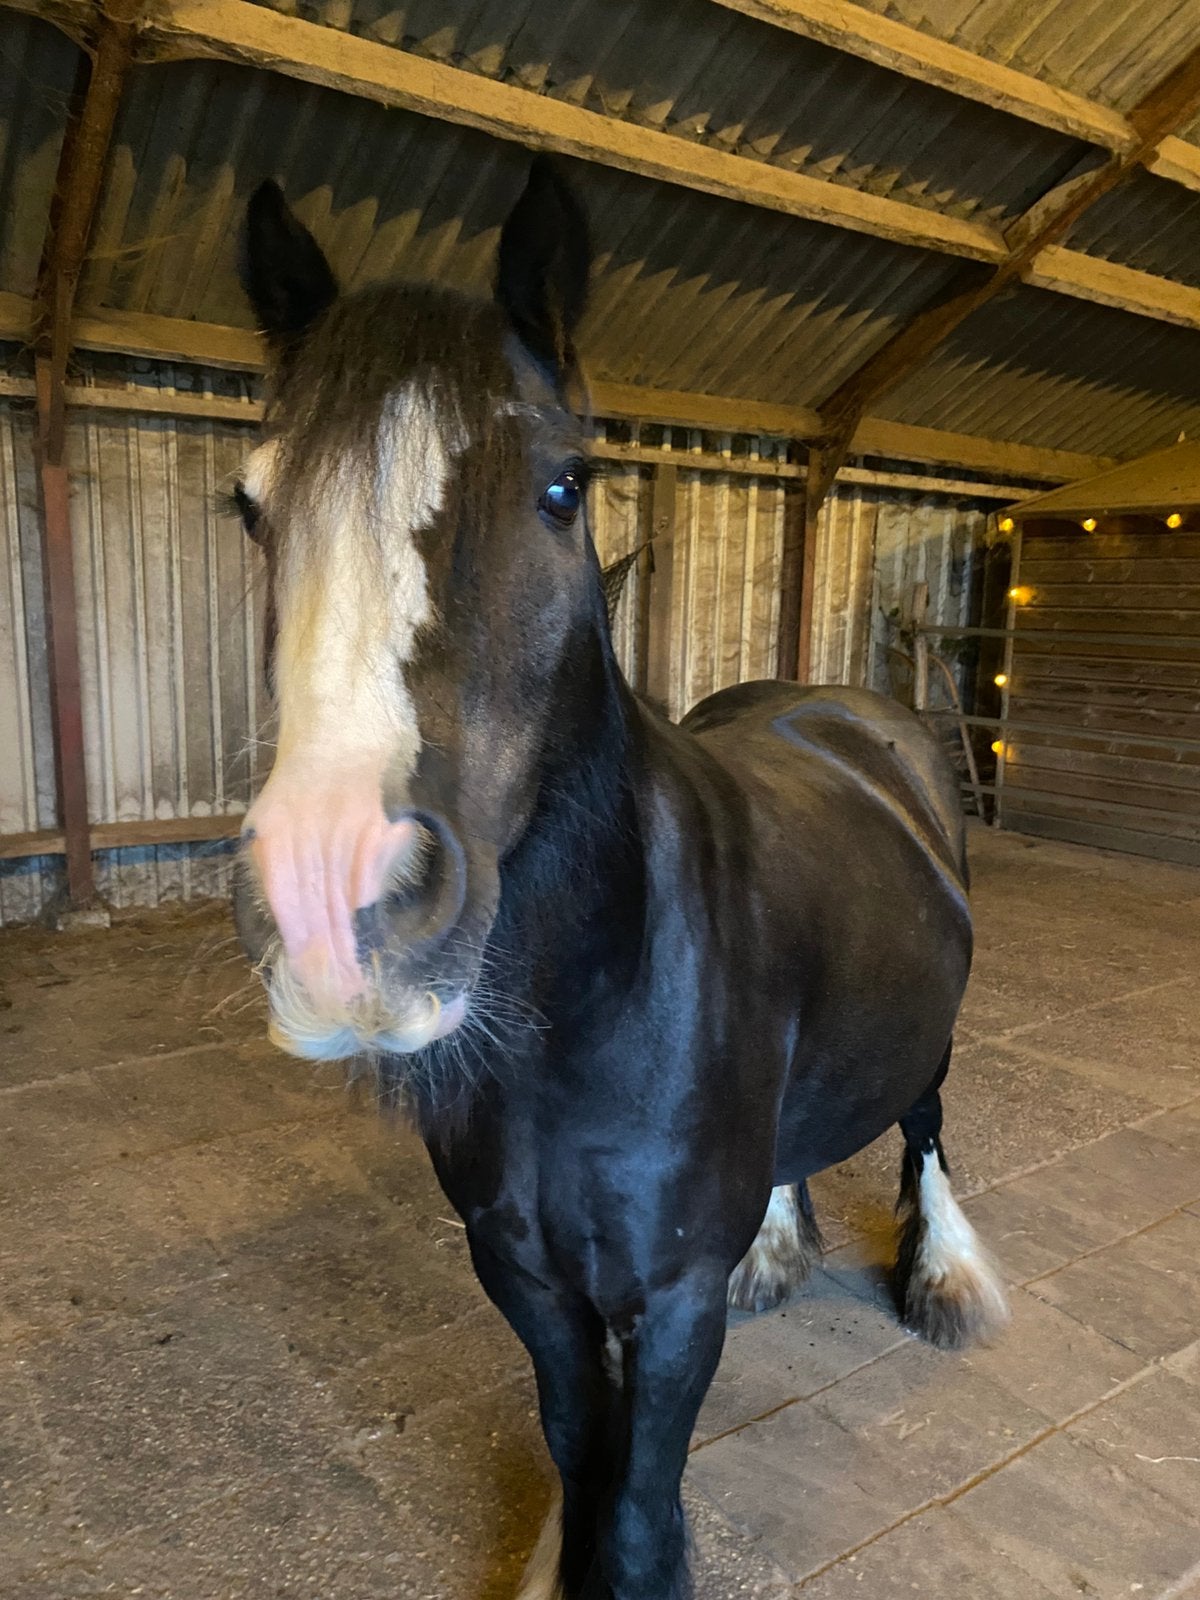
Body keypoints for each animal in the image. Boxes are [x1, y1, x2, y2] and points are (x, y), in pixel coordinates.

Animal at [230, 157, 1008, 1600]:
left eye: (564, 486)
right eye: (250, 504)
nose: (334, 908)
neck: (589, 1006)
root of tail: (852, 714)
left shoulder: (669, 1297)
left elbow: (640, 1507)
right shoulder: (526, 1277)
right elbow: (580, 1454)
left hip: (928, 1040)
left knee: (925, 1122)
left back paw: (945, 1279)